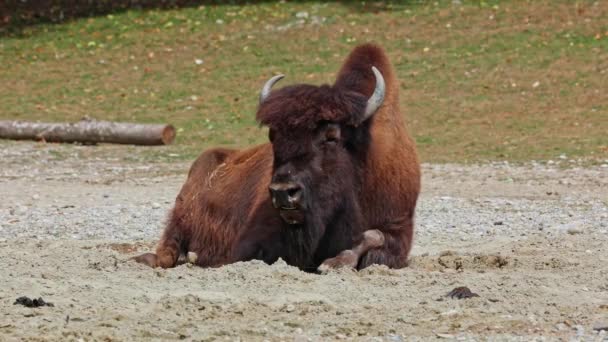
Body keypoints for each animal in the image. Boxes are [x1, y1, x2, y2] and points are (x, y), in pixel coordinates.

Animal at [133, 43, 418, 272]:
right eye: (273, 135)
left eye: (331, 136)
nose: (283, 192)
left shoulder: (399, 225)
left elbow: (372, 236)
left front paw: (334, 262)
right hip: (180, 214)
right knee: (168, 250)